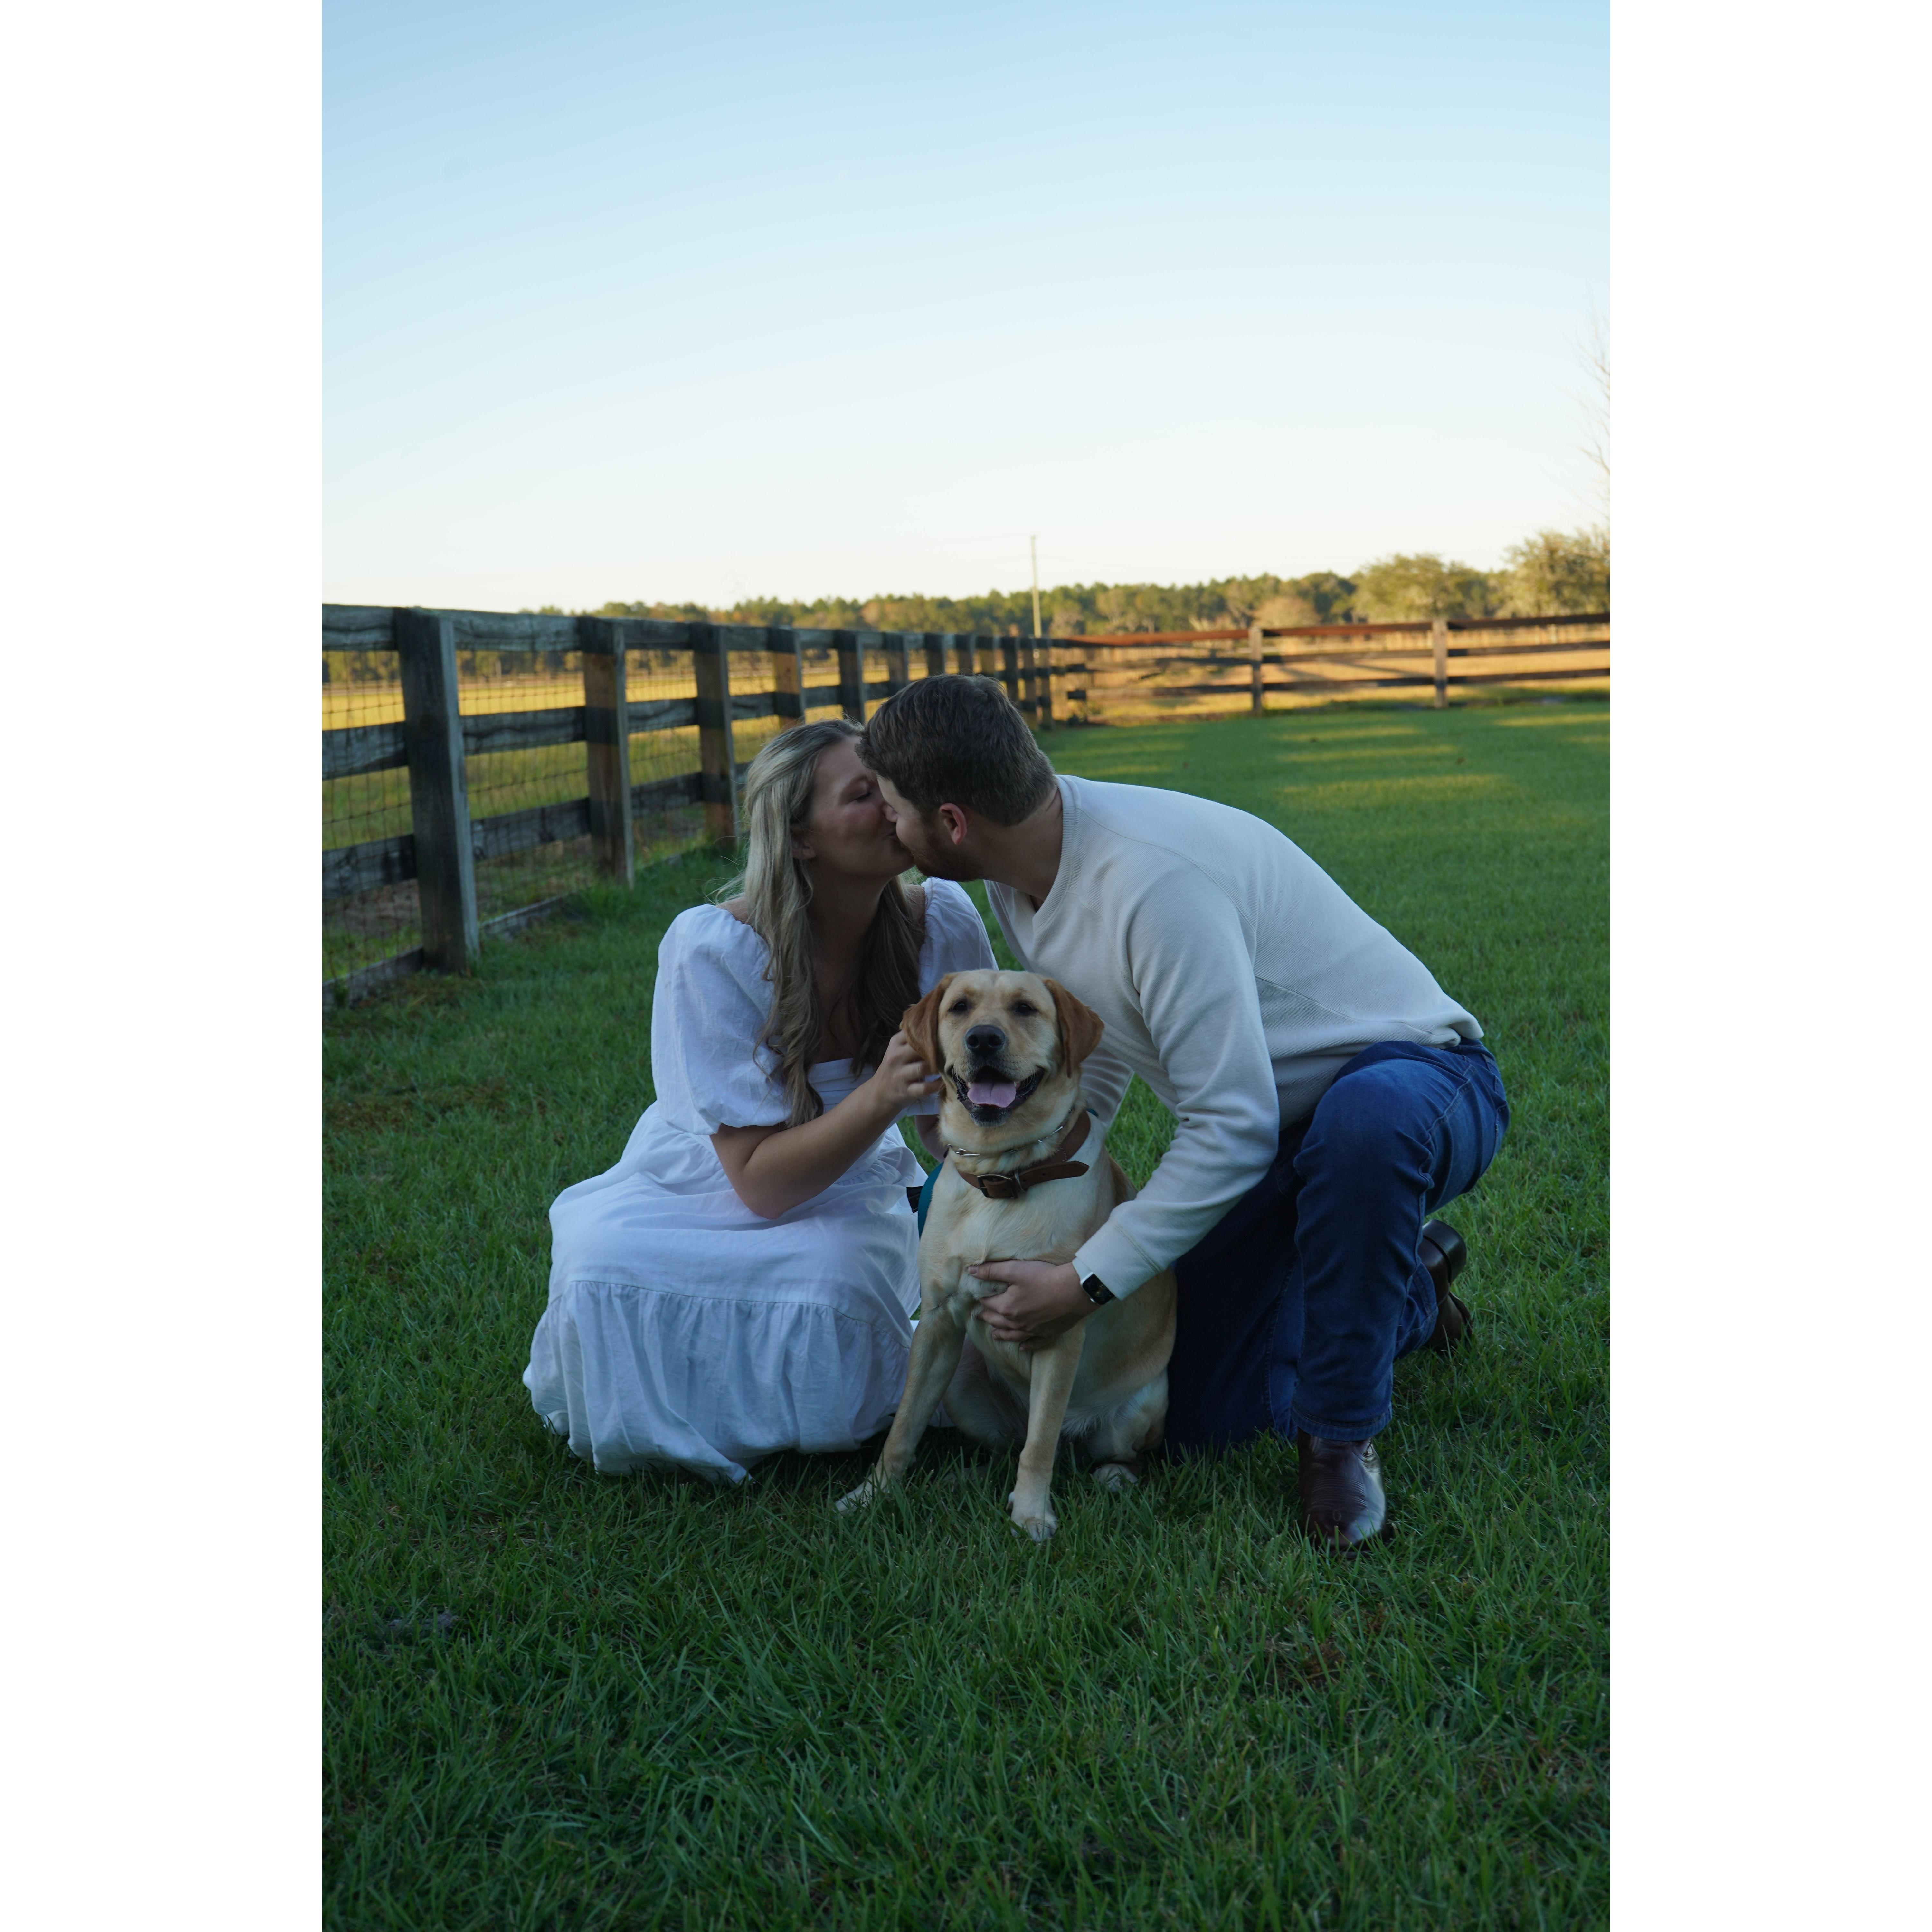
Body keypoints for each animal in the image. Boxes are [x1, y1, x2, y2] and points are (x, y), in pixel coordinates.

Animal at [837, 968, 1177, 1541]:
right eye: (960, 1007)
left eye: (1025, 1009)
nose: (983, 1039)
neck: (1002, 1175)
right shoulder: (937, 1324)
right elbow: (903, 1426)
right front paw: (872, 1494)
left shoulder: (1058, 1332)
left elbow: (1039, 1443)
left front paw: (1032, 1514)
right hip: (961, 1385)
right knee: (1007, 1447)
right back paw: (963, 1477)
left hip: (1142, 1405)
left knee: (1083, 1449)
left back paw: (1111, 1476)